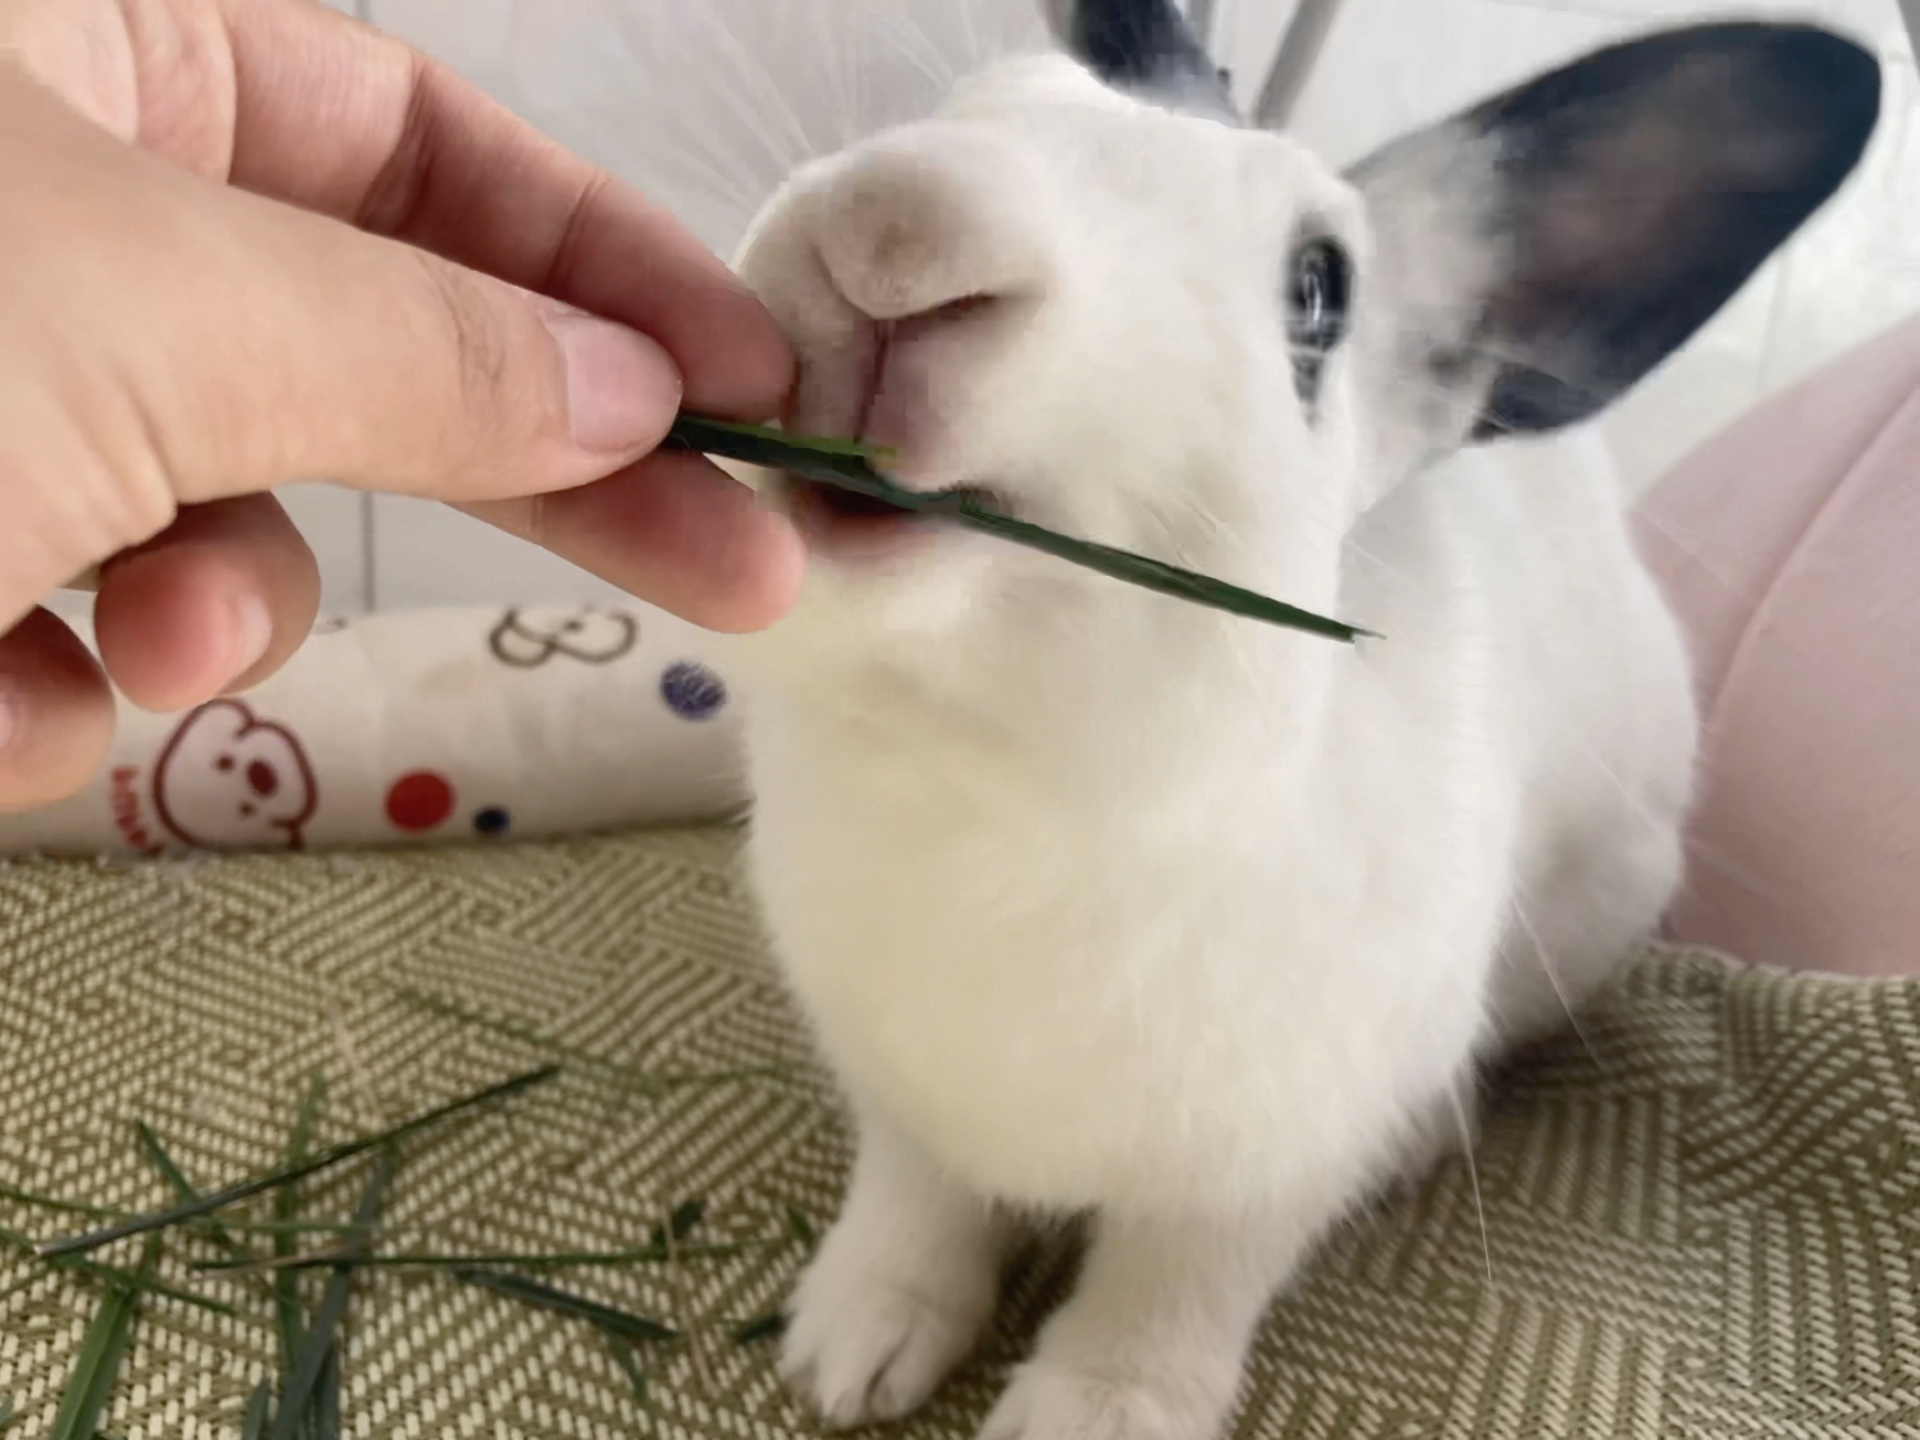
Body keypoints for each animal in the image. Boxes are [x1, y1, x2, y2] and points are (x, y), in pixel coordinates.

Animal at [718, 5, 1873, 1436]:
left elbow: (1167, 1293)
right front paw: (851, 1354)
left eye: (1318, 291)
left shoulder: (1259, 1172)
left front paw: (1090, 1415)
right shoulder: (900, 1094)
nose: (892, 228)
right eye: (984, 97)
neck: (995, 778)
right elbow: (915, 1209)